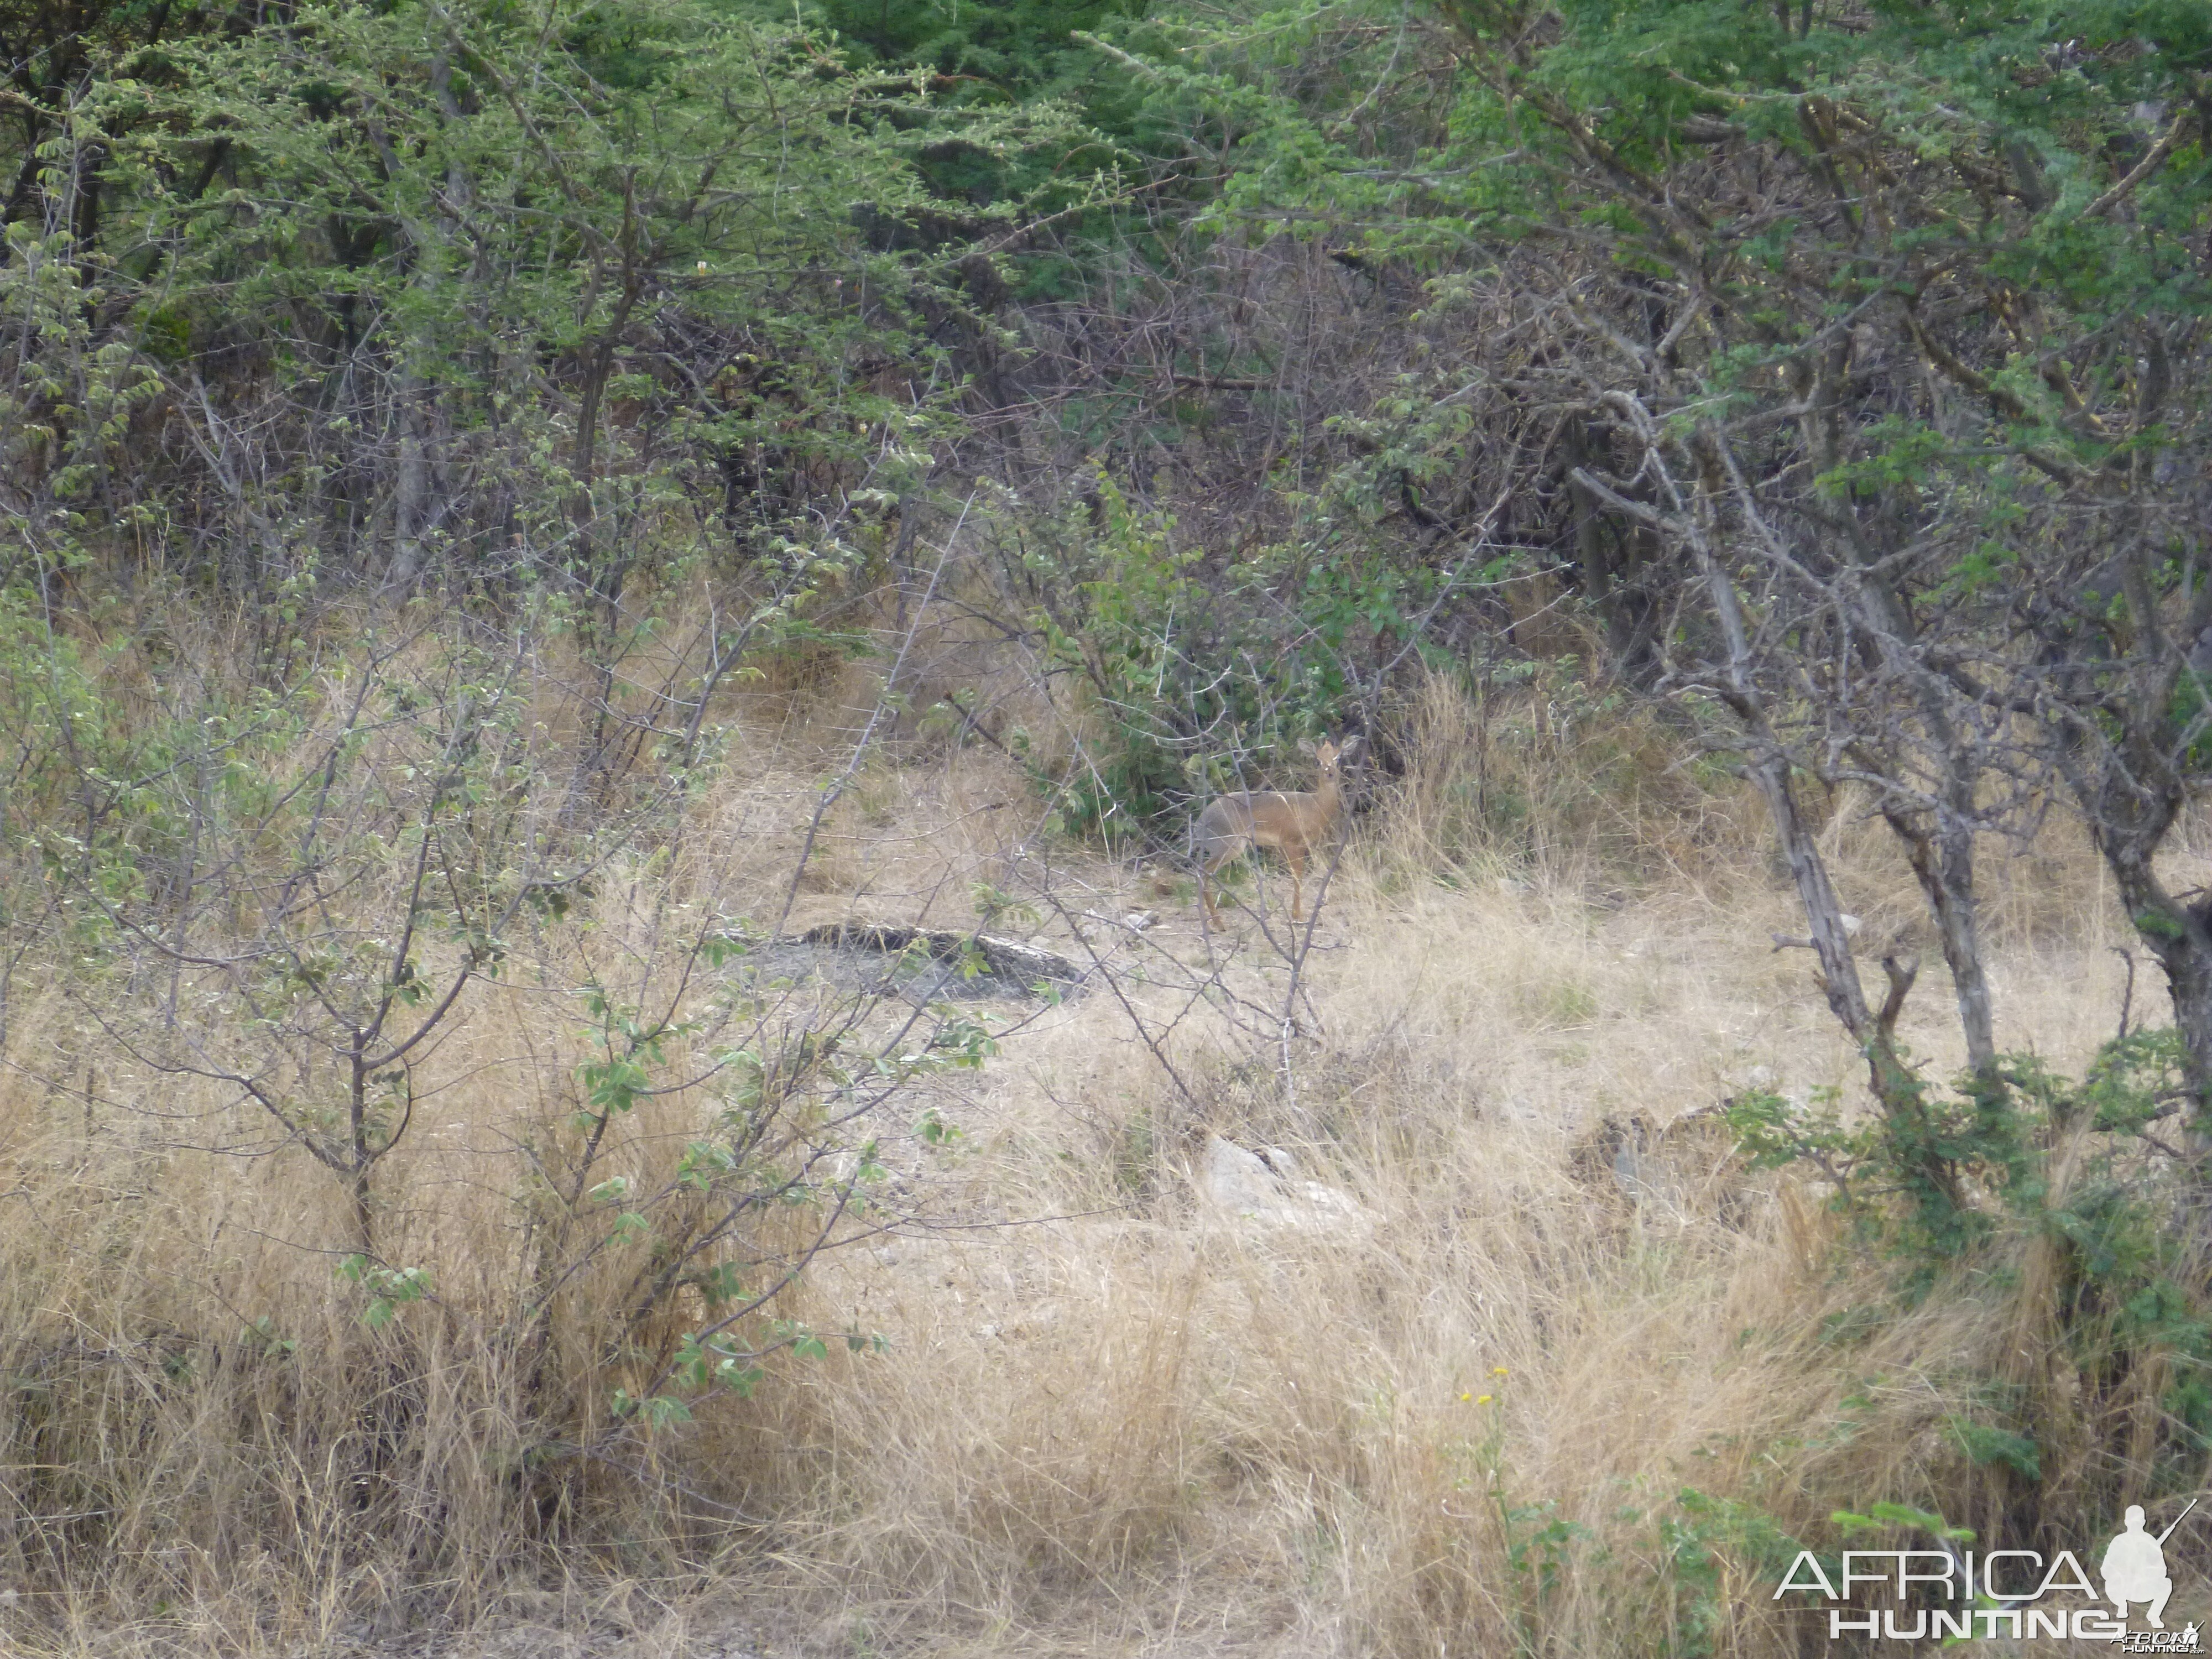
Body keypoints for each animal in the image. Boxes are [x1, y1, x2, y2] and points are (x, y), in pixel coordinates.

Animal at [1194, 739, 1363, 929]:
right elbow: (1297, 877)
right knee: (1202, 871)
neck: (1315, 804)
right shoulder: (1291, 844)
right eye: (1317, 760)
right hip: (1230, 847)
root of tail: (1201, 821)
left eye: (1338, 758)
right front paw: (1298, 916)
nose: (1330, 773)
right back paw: (1219, 923)